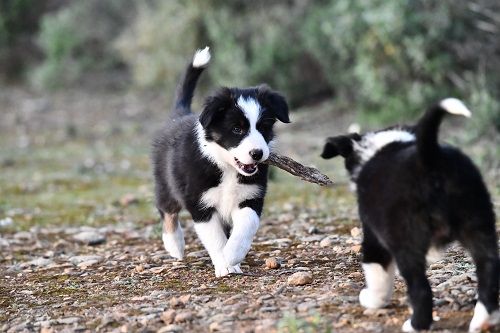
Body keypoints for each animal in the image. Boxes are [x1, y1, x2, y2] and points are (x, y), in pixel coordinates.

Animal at [150, 48, 290, 278]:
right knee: (166, 209)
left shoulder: (251, 196)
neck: (226, 167)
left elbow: (246, 225)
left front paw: (233, 254)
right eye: (237, 129)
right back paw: (175, 245)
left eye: (263, 127)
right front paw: (225, 265)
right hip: (165, 182)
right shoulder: (200, 203)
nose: (257, 153)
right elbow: (214, 238)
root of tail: (179, 115)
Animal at [322, 99, 498, 332]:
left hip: (406, 240)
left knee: (420, 288)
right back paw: (484, 319)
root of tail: (429, 155)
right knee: (489, 267)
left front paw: (372, 299)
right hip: (478, 222)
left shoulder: (373, 236)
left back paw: (416, 325)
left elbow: (376, 272)